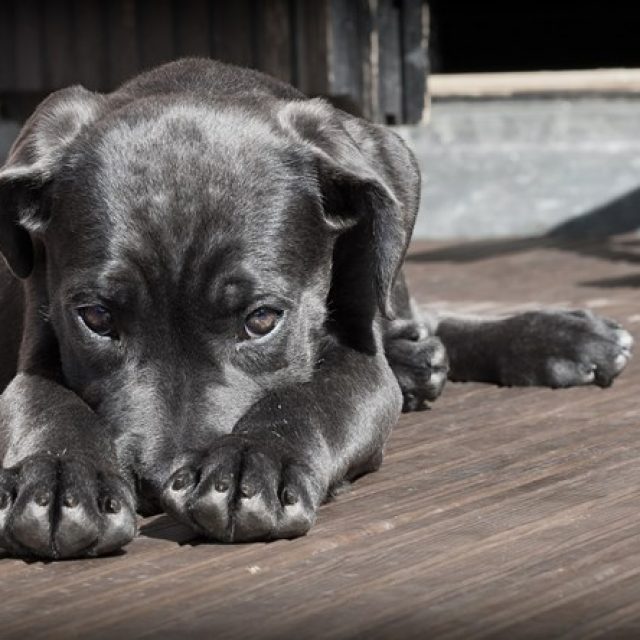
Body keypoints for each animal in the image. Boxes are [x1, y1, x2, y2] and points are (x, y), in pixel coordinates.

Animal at [0, 61, 632, 560]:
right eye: (96, 319)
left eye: (261, 320)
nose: (157, 482)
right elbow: (42, 403)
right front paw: (59, 479)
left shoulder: (361, 361)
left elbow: (310, 398)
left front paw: (252, 463)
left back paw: (556, 338)